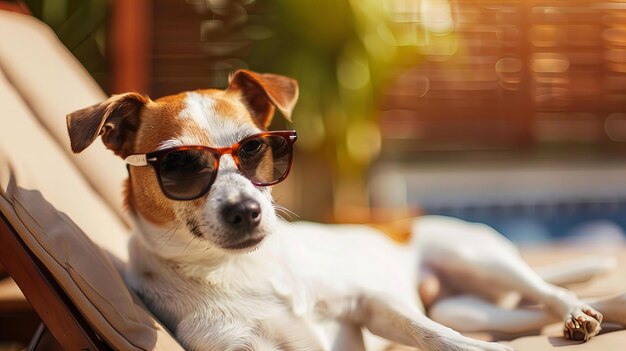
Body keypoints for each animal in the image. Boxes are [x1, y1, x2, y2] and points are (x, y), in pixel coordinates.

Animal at [64, 70, 624, 350]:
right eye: (181, 165)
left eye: (256, 148)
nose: (247, 211)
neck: (246, 270)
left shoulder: (370, 302)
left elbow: (433, 335)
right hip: (469, 304)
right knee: (529, 308)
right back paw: (599, 310)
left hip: (477, 257)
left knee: (550, 291)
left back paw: (577, 313)